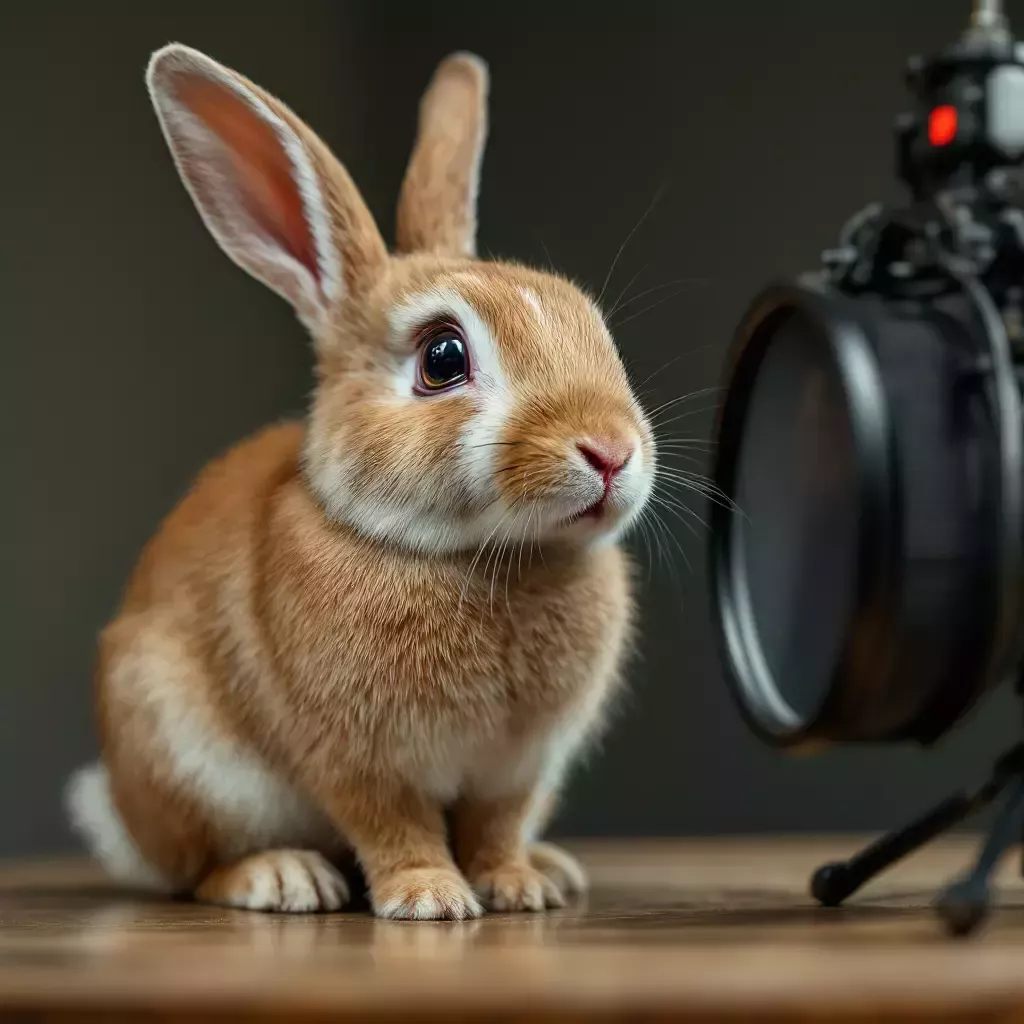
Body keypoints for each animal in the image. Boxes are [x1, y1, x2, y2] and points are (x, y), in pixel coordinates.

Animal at [64, 41, 655, 921]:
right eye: (443, 357)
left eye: (593, 328)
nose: (611, 450)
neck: (473, 555)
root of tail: (125, 828)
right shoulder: (357, 758)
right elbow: (393, 824)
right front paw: (431, 899)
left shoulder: (518, 769)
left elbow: (495, 827)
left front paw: (517, 887)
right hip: (179, 753)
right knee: (198, 870)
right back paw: (283, 878)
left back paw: (550, 867)